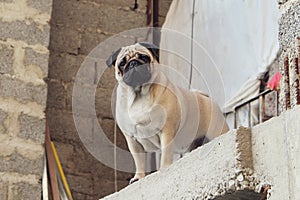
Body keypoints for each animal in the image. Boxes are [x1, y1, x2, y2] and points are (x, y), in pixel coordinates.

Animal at [106, 42, 229, 184]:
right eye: (122, 63)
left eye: (144, 57)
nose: (133, 63)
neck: (139, 96)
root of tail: (206, 98)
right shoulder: (132, 140)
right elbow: (139, 161)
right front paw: (139, 177)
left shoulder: (167, 131)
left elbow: (165, 153)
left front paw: (163, 168)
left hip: (217, 131)